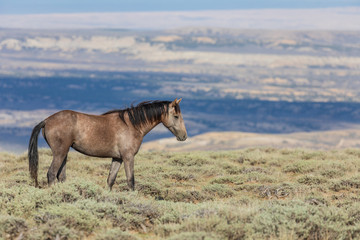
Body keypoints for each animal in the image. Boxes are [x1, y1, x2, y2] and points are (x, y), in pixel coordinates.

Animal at [27, 98, 188, 190]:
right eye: (176, 116)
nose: (184, 136)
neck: (132, 125)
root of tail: (46, 120)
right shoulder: (128, 157)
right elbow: (131, 181)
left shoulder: (117, 158)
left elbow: (110, 180)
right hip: (59, 153)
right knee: (51, 174)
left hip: (64, 153)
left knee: (61, 176)